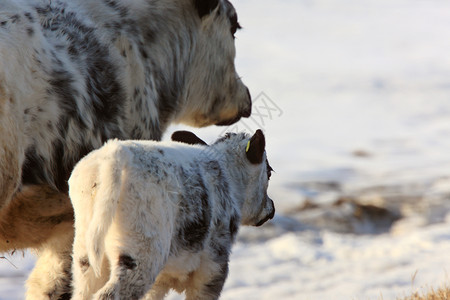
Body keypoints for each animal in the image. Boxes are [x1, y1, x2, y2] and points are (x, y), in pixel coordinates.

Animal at [69, 130, 276, 300]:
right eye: (269, 171)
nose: (272, 207)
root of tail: (113, 152)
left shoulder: (162, 280)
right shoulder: (214, 266)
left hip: (86, 256)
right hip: (141, 255)